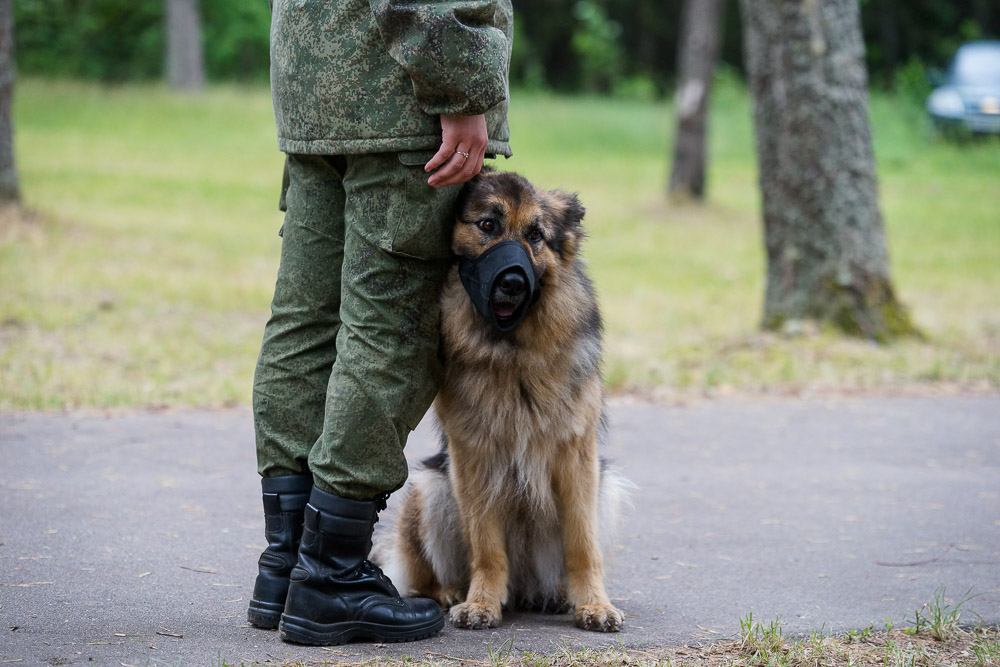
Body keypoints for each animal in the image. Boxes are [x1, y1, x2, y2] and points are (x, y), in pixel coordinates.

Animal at [376, 170, 632, 636]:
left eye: (535, 235)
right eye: (488, 225)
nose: (513, 282)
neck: (513, 355)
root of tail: (526, 587)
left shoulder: (578, 461)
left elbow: (583, 546)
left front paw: (594, 604)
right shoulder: (473, 460)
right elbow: (487, 546)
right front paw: (481, 602)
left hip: (604, 487)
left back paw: (559, 594)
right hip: (431, 488)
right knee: (419, 576)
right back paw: (449, 592)